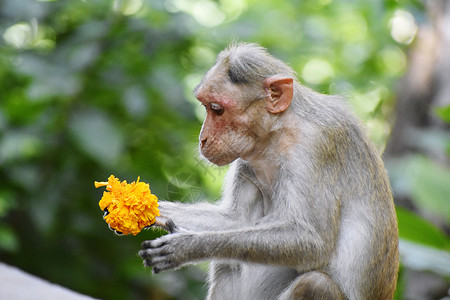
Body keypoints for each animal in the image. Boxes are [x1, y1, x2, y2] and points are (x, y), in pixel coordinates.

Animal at [139, 42, 400, 300]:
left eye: (217, 109)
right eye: (206, 107)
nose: (203, 139)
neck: (279, 131)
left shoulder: (316, 147)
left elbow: (313, 241)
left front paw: (187, 246)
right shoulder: (247, 161)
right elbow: (236, 220)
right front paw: (149, 209)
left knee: (314, 284)